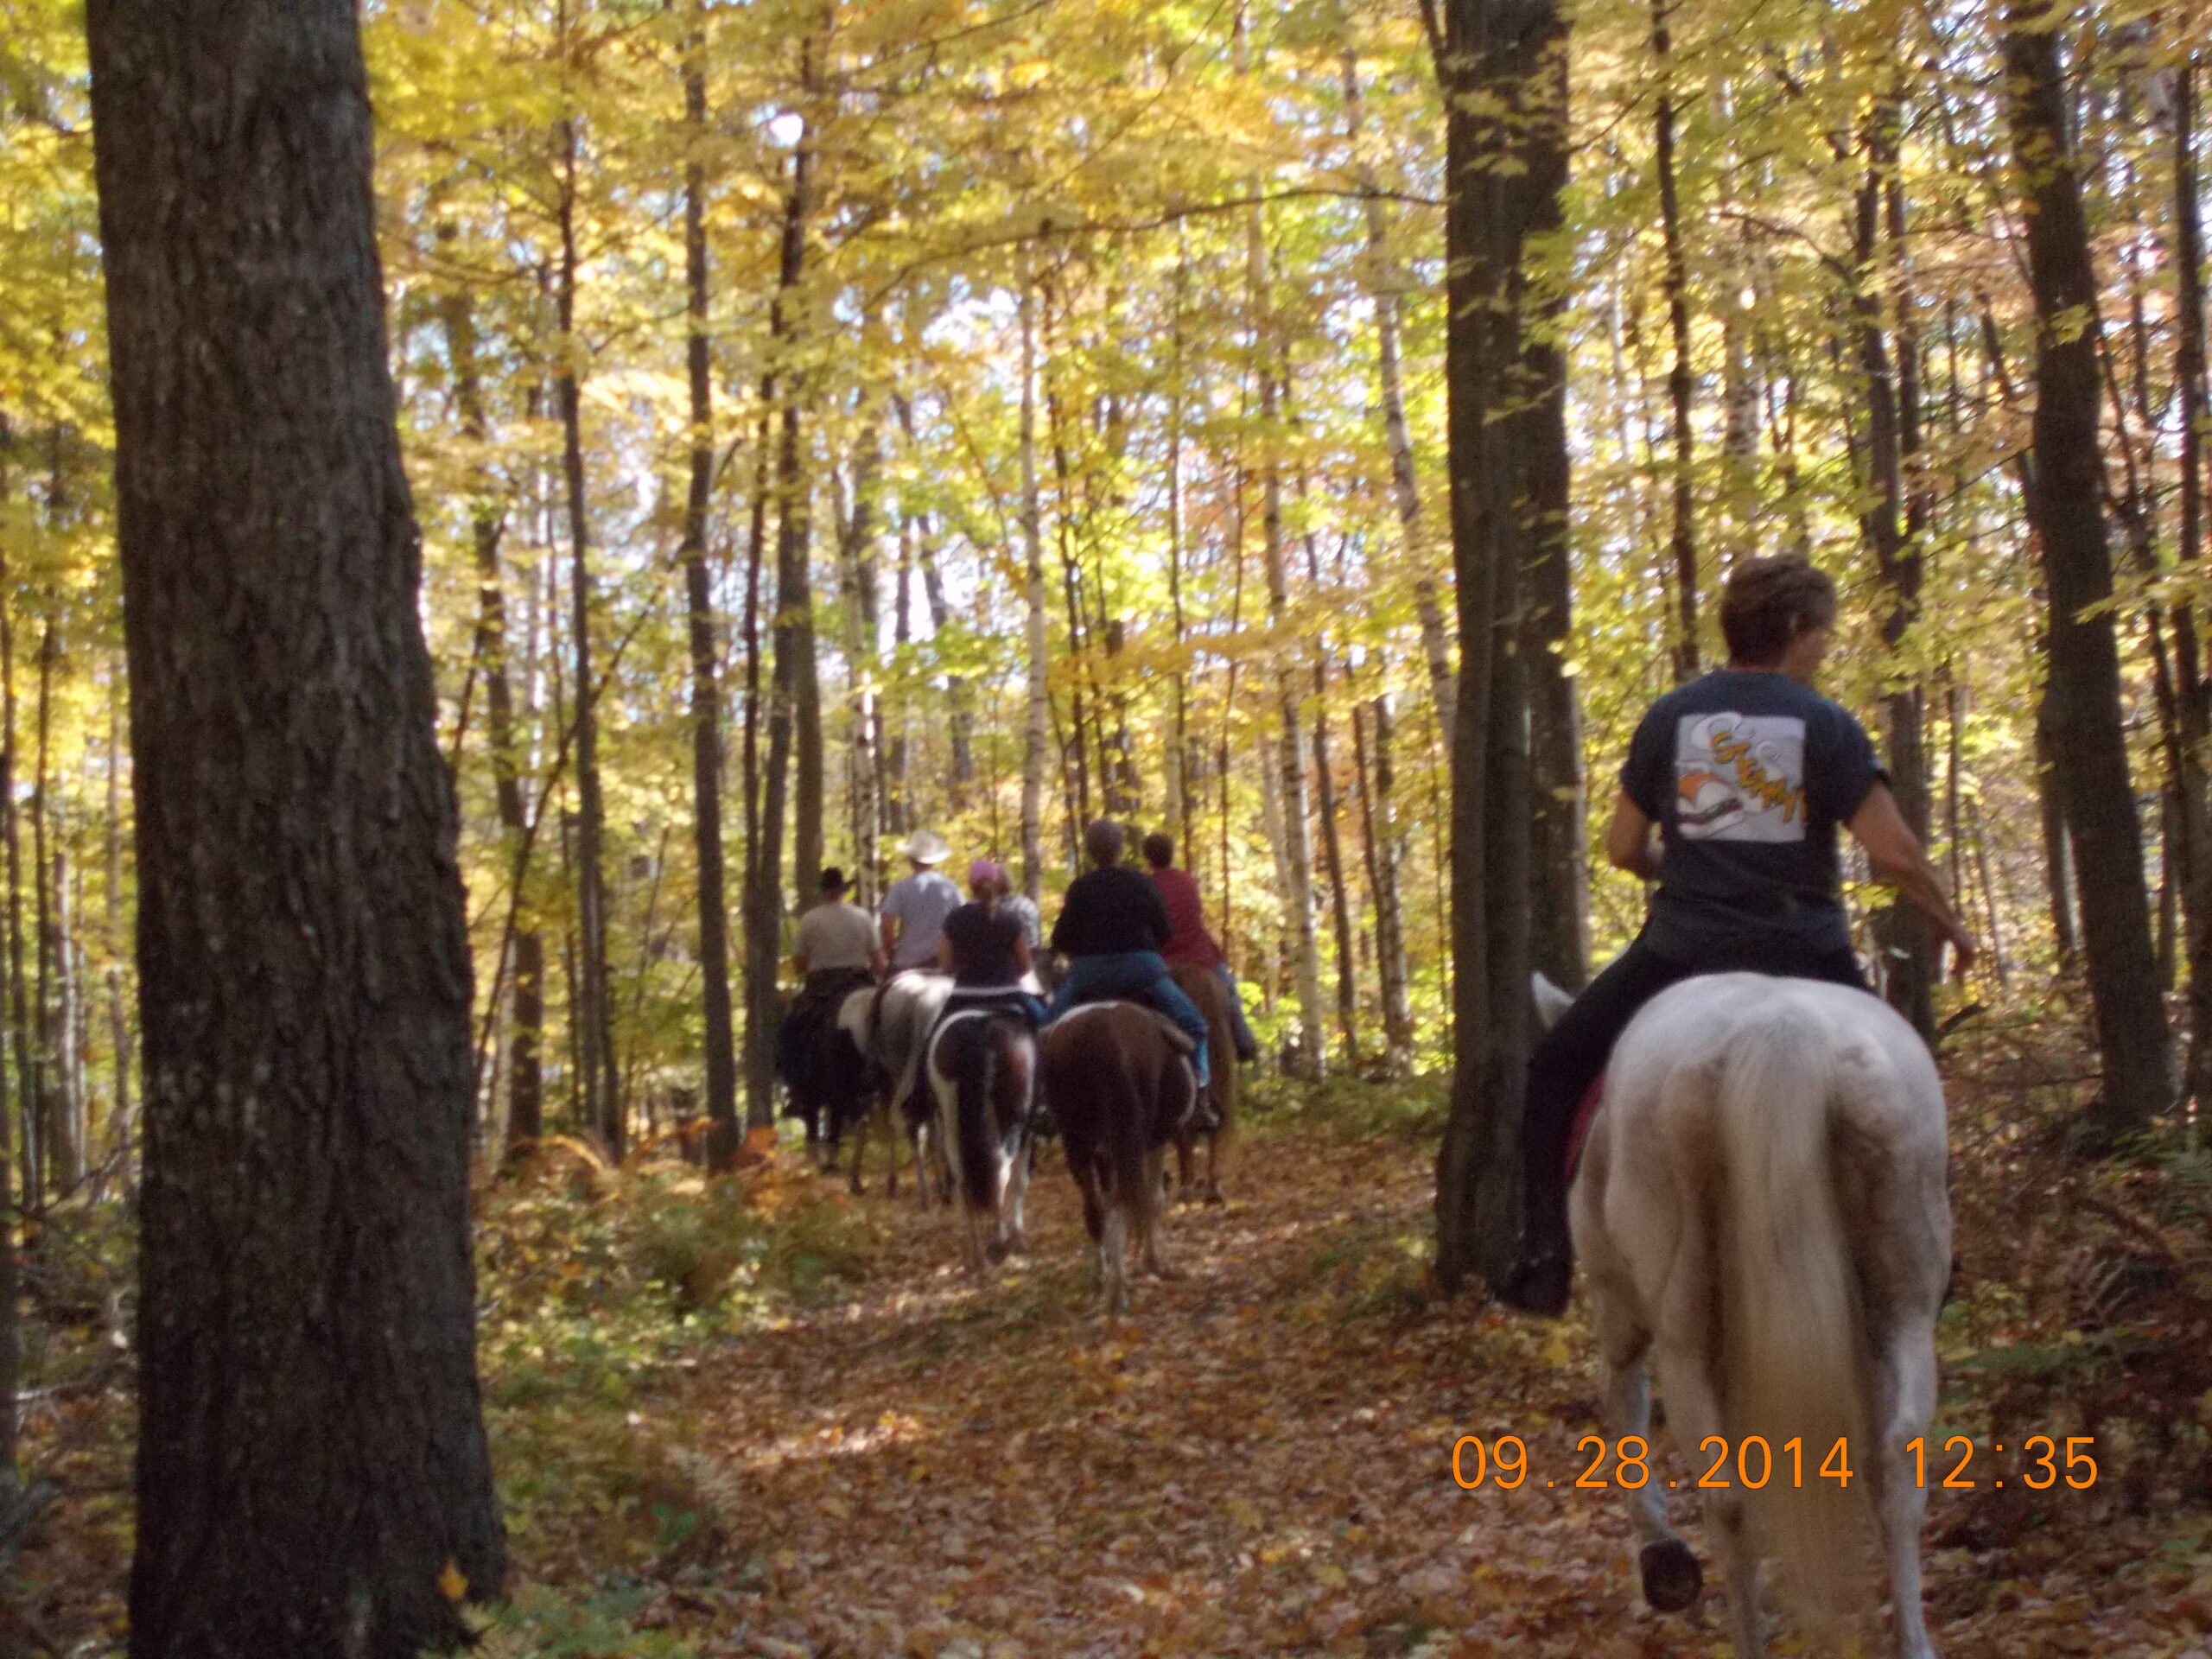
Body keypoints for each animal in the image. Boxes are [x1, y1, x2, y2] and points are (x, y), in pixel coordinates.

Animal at [1035, 1000, 1194, 1309]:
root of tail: (1098, 1031)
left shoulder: (1104, 1154)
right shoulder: (1151, 1143)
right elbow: (1151, 1200)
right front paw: (1152, 1261)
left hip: (1078, 1143)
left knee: (1096, 1210)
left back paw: (1103, 1278)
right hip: (1128, 1141)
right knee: (1122, 1202)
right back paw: (1118, 1292)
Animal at [1539, 973, 1955, 1659]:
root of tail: (1783, 1028)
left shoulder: (1618, 1307)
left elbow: (1622, 1403)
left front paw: (1663, 1557)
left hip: (1681, 1334)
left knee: (1728, 1497)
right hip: (1906, 1308)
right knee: (1898, 1462)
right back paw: (1911, 1642)